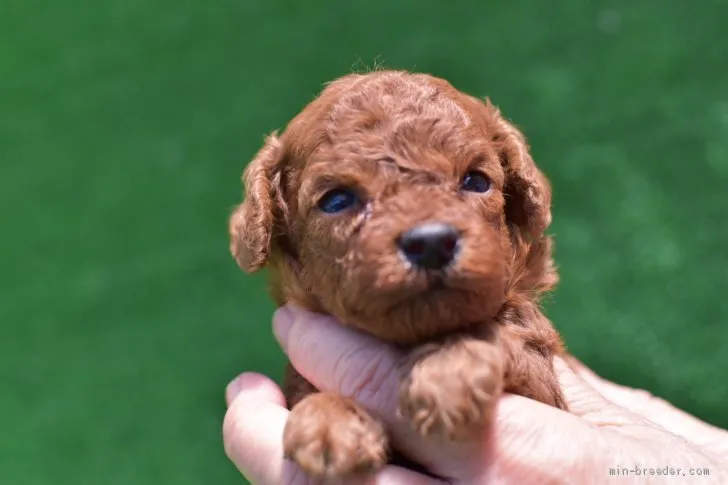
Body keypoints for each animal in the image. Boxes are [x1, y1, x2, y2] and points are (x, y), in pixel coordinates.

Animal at [228, 69, 568, 480]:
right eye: (337, 200)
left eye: (476, 181)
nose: (432, 241)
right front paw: (329, 418)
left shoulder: (543, 384)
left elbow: (503, 330)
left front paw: (447, 370)